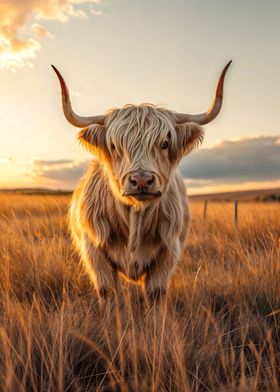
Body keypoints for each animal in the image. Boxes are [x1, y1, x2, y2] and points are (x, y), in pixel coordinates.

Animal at [51, 61, 231, 302]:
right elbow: (108, 292)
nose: (142, 180)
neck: (134, 218)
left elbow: (155, 293)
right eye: (115, 146)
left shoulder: (167, 252)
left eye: (165, 143)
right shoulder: (95, 253)